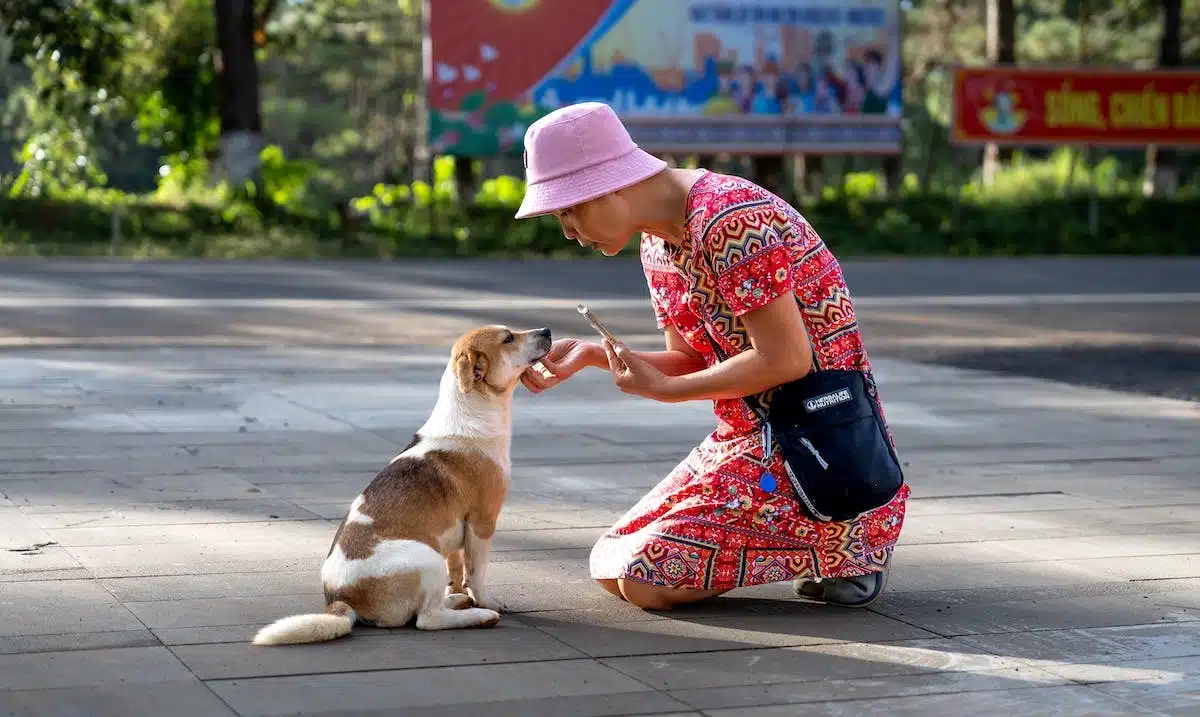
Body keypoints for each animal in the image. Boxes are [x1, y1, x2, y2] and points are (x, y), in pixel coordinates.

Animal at [255, 326, 554, 647]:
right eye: (508, 338)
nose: (546, 330)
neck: (468, 414)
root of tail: (340, 600)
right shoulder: (482, 522)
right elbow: (476, 573)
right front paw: (487, 601)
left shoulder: (452, 533)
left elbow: (457, 570)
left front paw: (458, 592)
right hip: (428, 558)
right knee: (427, 620)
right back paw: (480, 616)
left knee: (434, 604)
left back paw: (456, 602)